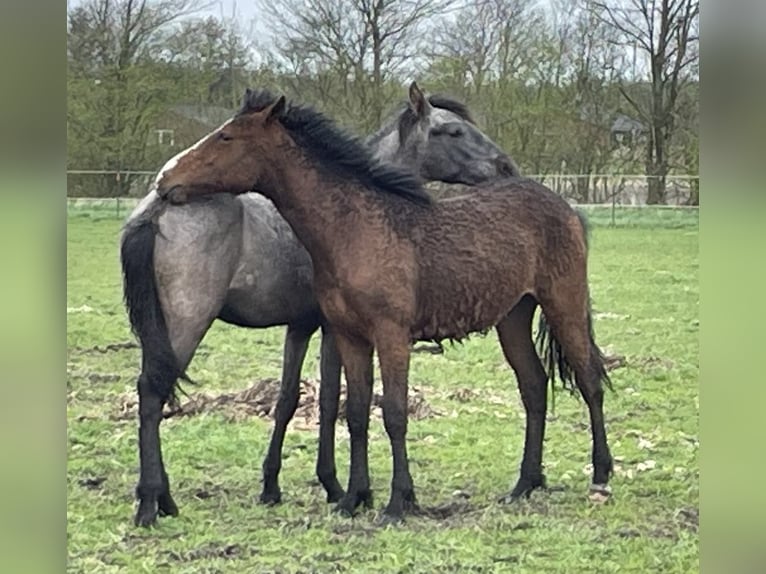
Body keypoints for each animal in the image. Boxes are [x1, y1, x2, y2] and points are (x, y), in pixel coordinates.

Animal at [120, 83, 520, 528]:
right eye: (451, 131)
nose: (504, 166)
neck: (354, 215)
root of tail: (156, 208)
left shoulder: (301, 327)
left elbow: (288, 400)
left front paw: (273, 486)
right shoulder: (332, 329)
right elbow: (331, 400)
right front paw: (339, 487)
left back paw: (164, 499)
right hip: (187, 322)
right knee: (152, 392)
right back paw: (151, 502)